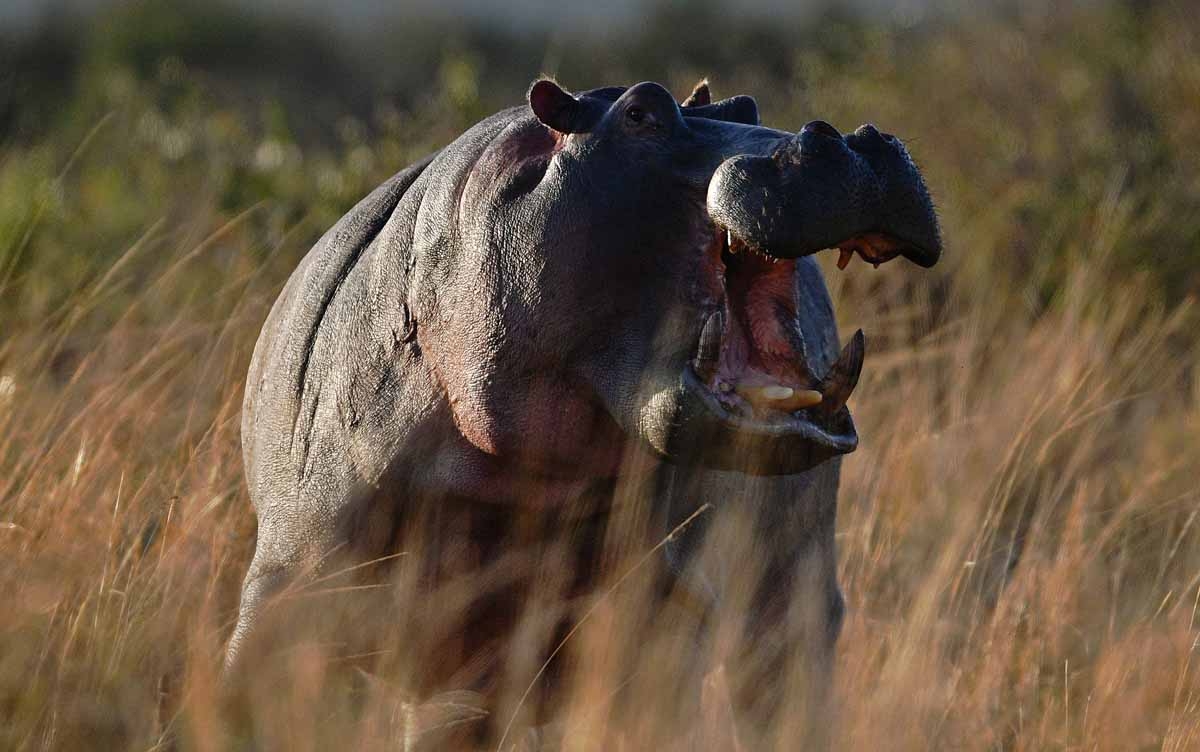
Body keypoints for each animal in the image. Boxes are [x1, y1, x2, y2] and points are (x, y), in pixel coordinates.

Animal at [225, 76, 936, 748]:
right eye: (641, 112)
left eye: (748, 107)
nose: (853, 143)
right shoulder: (287, 584)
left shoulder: (659, 627)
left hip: (790, 604)